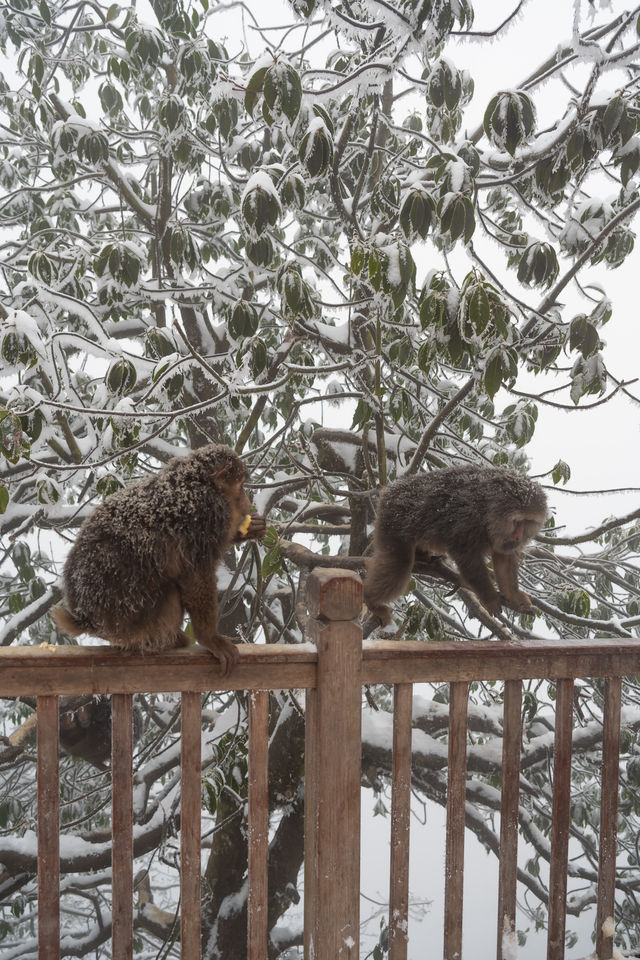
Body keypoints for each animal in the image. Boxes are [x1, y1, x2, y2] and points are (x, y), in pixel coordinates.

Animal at [52, 444, 268, 676]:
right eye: (241, 486)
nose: (247, 503)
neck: (201, 483)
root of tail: (86, 618)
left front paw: (251, 529)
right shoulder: (207, 516)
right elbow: (196, 578)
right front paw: (209, 638)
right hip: (133, 621)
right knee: (170, 589)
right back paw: (169, 641)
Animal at [362, 464, 548, 628]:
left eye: (528, 522)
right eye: (517, 521)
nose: (518, 536)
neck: (488, 509)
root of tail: (390, 490)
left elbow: (504, 558)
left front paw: (513, 595)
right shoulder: (469, 519)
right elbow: (466, 555)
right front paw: (489, 597)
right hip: (393, 519)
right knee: (399, 564)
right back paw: (372, 600)